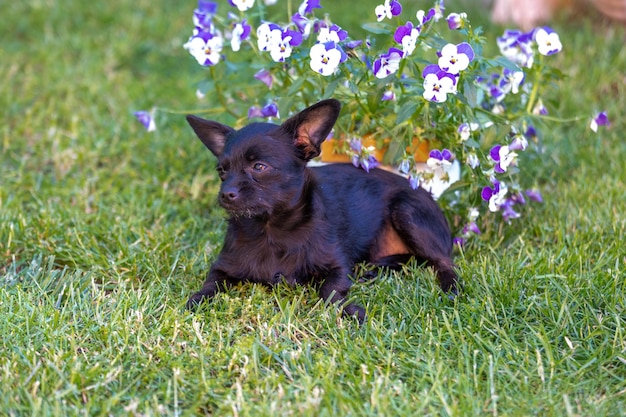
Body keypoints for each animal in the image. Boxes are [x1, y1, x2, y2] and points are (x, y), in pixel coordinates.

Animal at [183, 97, 456, 322]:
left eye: (259, 167)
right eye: (222, 171)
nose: (226, 193)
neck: (271, 229)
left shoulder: (336, 267)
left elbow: (329, 291)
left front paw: (348, 310)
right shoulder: (222, 267)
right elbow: (209, 285)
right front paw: (195, 301)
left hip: (405, 210)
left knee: (444, 261)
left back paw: (450, 289)